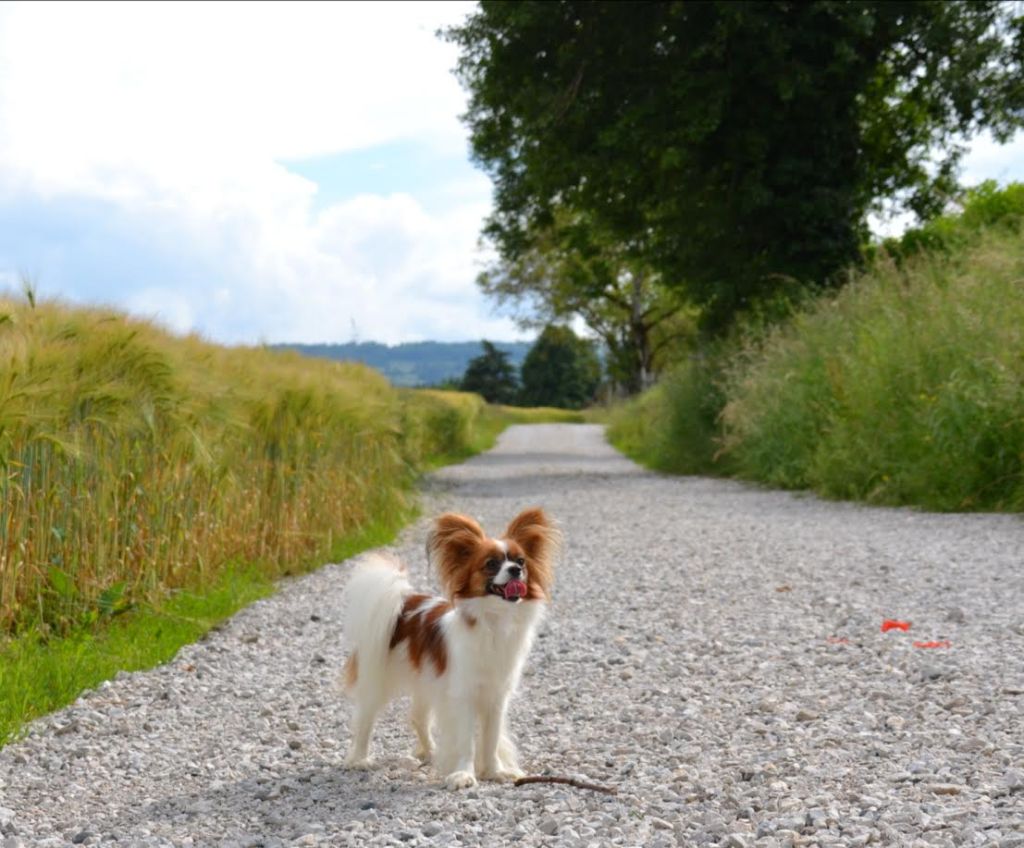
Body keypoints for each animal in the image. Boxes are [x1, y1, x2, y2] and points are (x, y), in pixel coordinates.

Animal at [339, 505, 557, 790]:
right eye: (491, 564)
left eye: (521, 562)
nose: (515, 570)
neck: (494, 620)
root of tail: (405, 603)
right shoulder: (463, 695)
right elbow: (467, 741)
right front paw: (463, 774)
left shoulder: (495, 697)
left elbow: (490, 739)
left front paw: (494, 771)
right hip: (378, 677)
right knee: (365, 718)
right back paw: (360, 759)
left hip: (425, 680)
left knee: (418, 717)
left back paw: (430, 751)